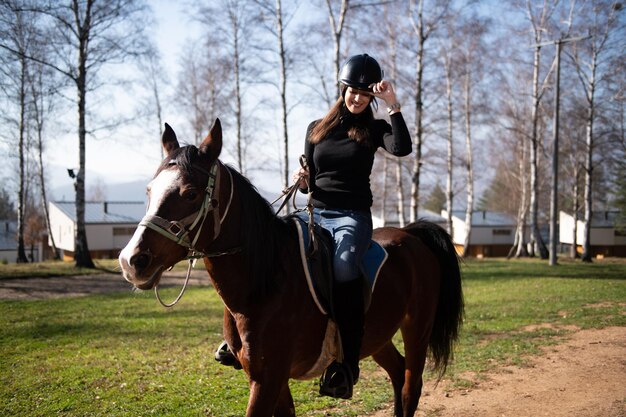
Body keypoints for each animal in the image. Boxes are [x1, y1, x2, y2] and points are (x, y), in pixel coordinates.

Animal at [117, 118, 460, 414]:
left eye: (189, 193)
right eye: (149, 191)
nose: (132, 260)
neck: (263, 286)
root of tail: (410, 234)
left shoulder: (268, 379)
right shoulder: (269, 380)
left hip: (417, 329)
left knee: (411, 385)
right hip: (378, 336)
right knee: (398, 372)